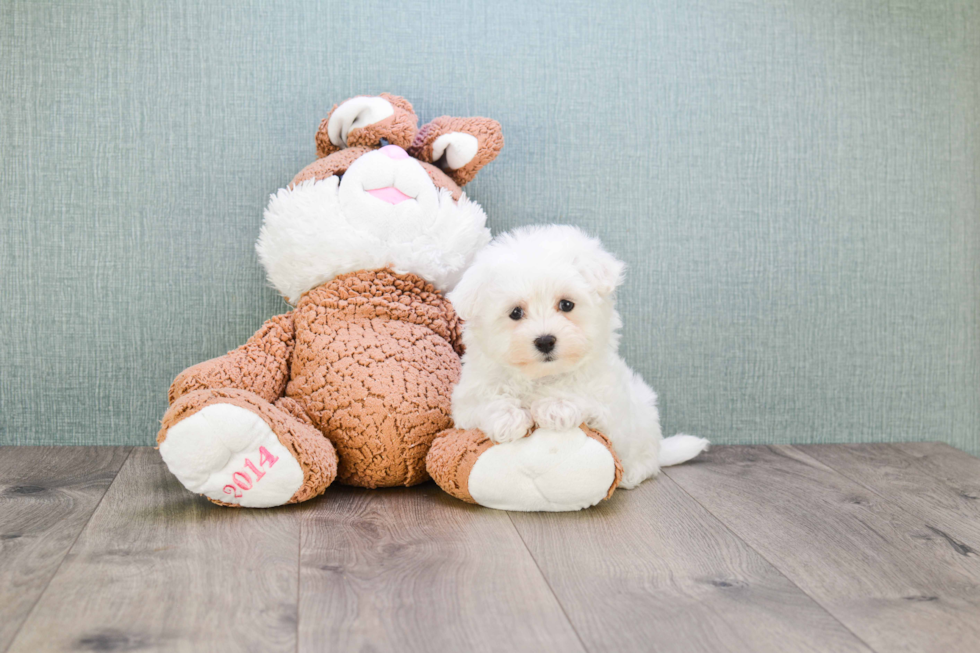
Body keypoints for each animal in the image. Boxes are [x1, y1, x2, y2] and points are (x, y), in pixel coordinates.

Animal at [448, 227, 708, 486]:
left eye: (566, 304)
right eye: (515, 313)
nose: (545, 341)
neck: (542, 376)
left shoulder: (609, 404)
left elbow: (583, 394)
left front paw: (555, 407)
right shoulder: (467, 401)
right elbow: (484, 401)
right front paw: (507, 417)